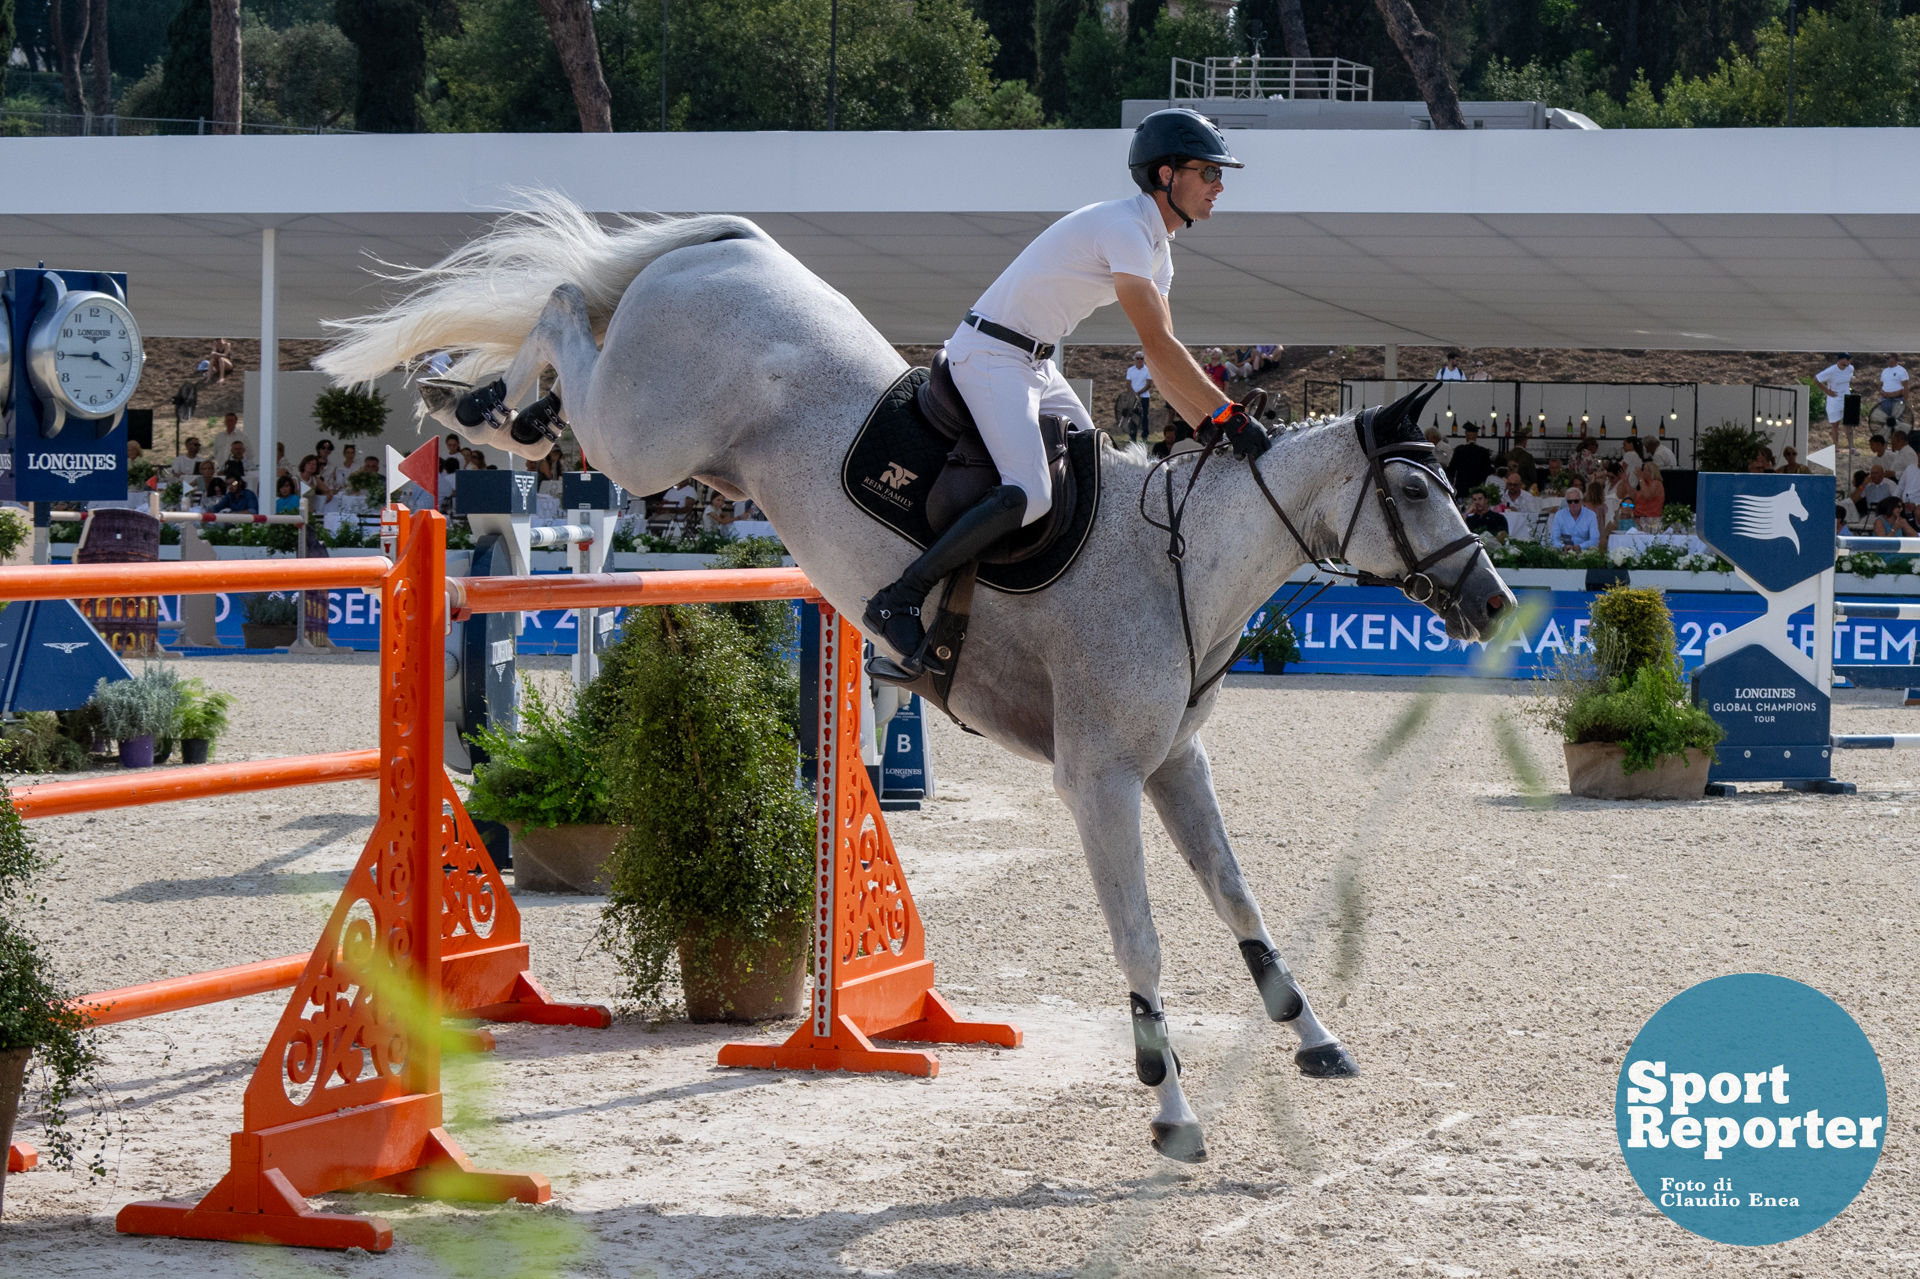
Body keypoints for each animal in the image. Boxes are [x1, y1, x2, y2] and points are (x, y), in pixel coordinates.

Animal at [318, 196, 1512, 1152]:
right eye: (1415, 493)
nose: (1495, 603)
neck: (1183, 561)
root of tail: (737, 246)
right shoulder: (1100, 781)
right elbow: (1143, 935)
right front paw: (1170, 1107)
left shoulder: (1176, 763)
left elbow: (1237, 894)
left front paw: (1313, 1032)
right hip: (644, 439)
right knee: (567, 308)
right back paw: (480, 410)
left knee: (567, 320)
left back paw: (491, 407)